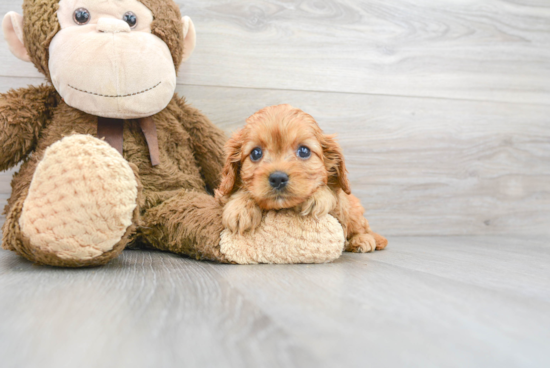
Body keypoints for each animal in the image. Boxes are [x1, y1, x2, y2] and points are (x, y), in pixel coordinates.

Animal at [216, 105, 388, 252]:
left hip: (353, 211)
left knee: (362, 228)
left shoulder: (340, 203)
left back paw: (362, 240)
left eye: (304, 151)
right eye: (255, 153)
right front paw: (240, 208)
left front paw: (318, 196)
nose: (277, 178)